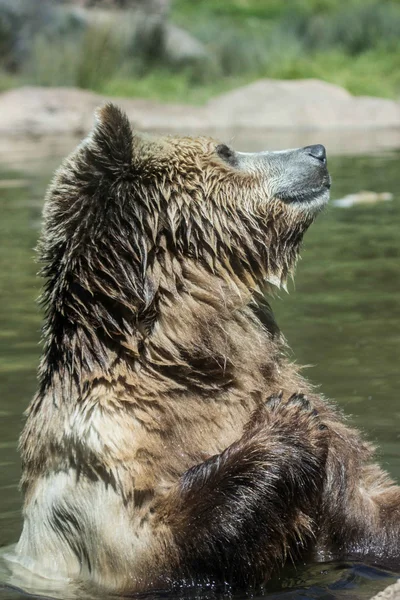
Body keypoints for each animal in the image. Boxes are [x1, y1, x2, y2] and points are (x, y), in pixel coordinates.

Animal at [8, 103, 400, 596]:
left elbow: (368, 509)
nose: (318, 151)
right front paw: (287, 420)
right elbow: (162, 547)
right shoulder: (102, 464)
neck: (189, 357)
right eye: (226, 151)